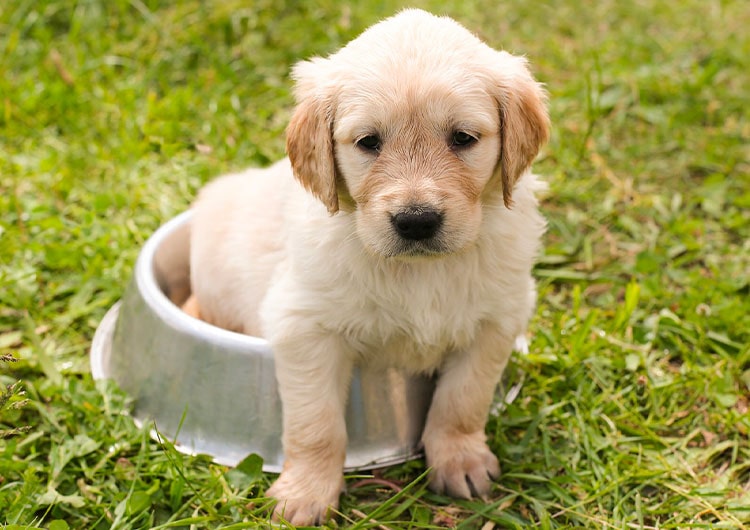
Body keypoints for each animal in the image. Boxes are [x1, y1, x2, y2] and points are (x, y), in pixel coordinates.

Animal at [188, 8, 552, 524]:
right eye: (368, 142)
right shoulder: (304, 327)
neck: (421, 271)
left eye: (463, 138)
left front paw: (460, 460)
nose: (416, 221)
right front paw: (304, 494)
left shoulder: (497, 320)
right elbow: (317, 424)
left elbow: (463, 400)